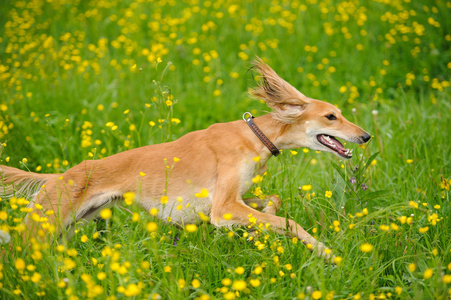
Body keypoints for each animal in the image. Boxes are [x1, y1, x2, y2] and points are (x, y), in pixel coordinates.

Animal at [0, 58, 370, 260]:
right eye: (331, 117)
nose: (365, 136)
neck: (254, 136)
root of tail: (57, 177)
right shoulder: (223, 207)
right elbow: (289, 223)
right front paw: (327, 254)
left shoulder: (228, 202)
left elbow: (273, 202)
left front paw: (257, 232)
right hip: (40, 231)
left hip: (64, 231)